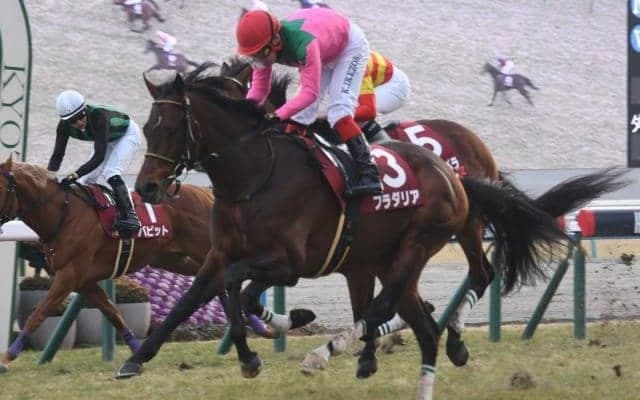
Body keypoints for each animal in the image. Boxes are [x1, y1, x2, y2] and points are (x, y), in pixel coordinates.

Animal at [118, 64, 573, 400]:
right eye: (147, 127)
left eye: (171, 129)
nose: (147, 188)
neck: (256, 175)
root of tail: (452, 172)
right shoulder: (220, 254)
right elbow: (191, 299)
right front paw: (137, 359)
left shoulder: (289, 263)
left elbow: (238, 290)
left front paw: (263, 344)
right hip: (388, 256)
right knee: (409, 315)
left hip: (435, 237)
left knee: (425, 292)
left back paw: (333, 351)